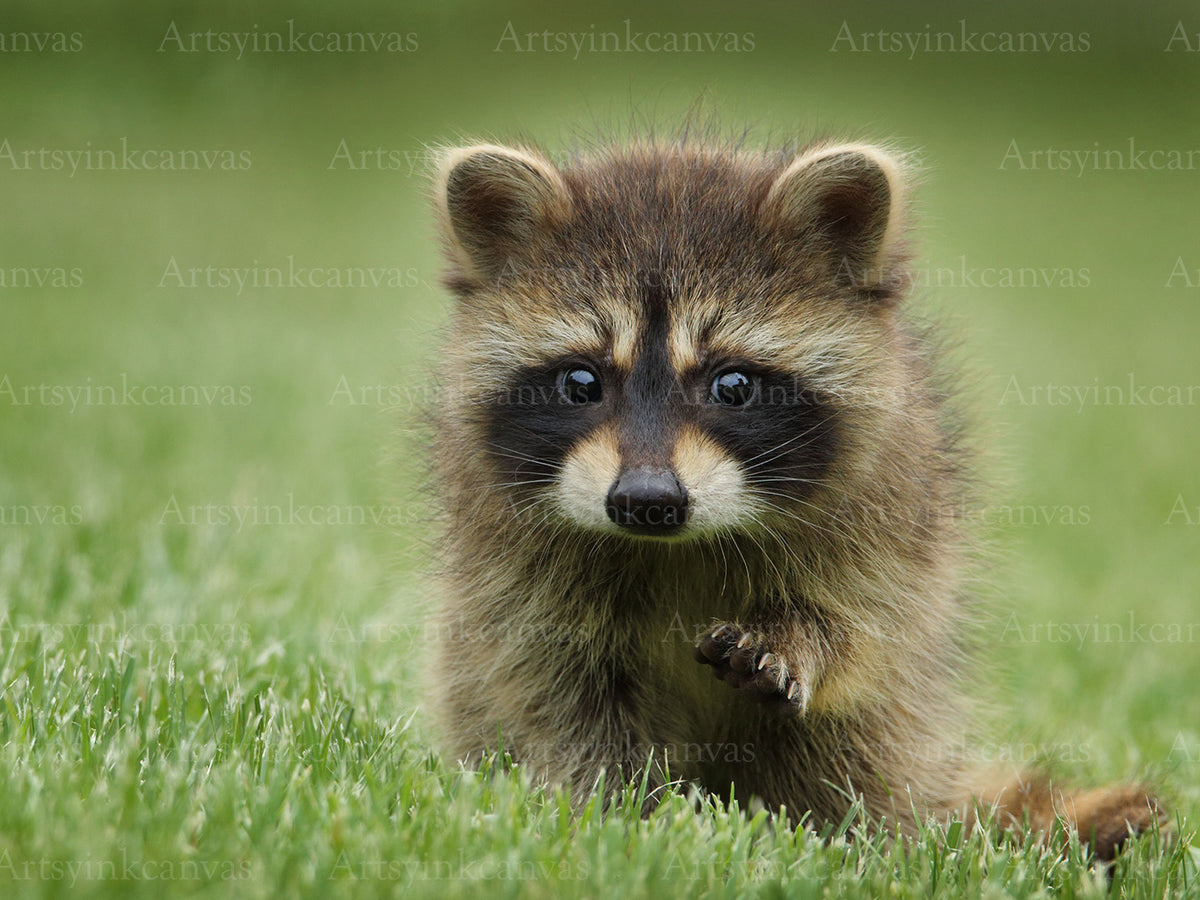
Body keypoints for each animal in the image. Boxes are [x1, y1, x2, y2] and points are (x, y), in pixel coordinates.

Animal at [426, 134, 1161, 860]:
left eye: (733, 385)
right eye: (581, 382)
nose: (646, 499)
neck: (676, 546)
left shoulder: (891, 508)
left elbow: (866, 623)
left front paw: (800, 636)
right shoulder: (510, 563)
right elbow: (554, 692)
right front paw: (621, 814)